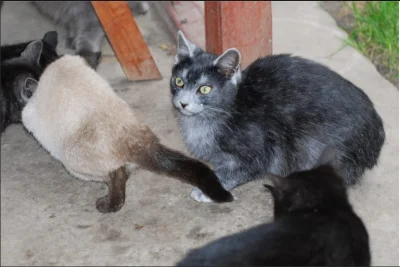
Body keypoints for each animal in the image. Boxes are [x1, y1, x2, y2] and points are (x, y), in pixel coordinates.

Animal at [170, 30, 386, 203]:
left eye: (205, 89)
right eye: (179, 81)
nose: (183, 103)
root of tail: (378, 134)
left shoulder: (257, 155)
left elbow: (237, 171)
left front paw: (208, 190)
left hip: (314, 149)